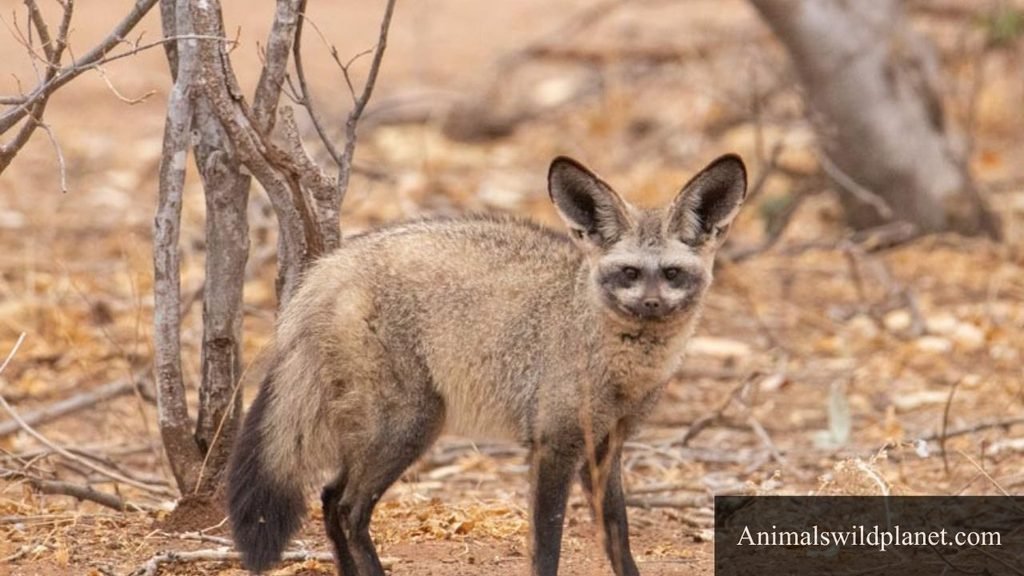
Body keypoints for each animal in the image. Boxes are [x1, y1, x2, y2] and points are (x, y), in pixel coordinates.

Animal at [227, 154, 747, 575]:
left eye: (673, 274)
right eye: (629, 273)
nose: (652, 306)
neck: (617, 364)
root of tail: (328, 267)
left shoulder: (603, 448)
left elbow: (617, 538)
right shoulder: (553, 446)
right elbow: (546, 549)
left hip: (385, 432)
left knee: (331, 499)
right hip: (411, 426)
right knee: (349, 510)